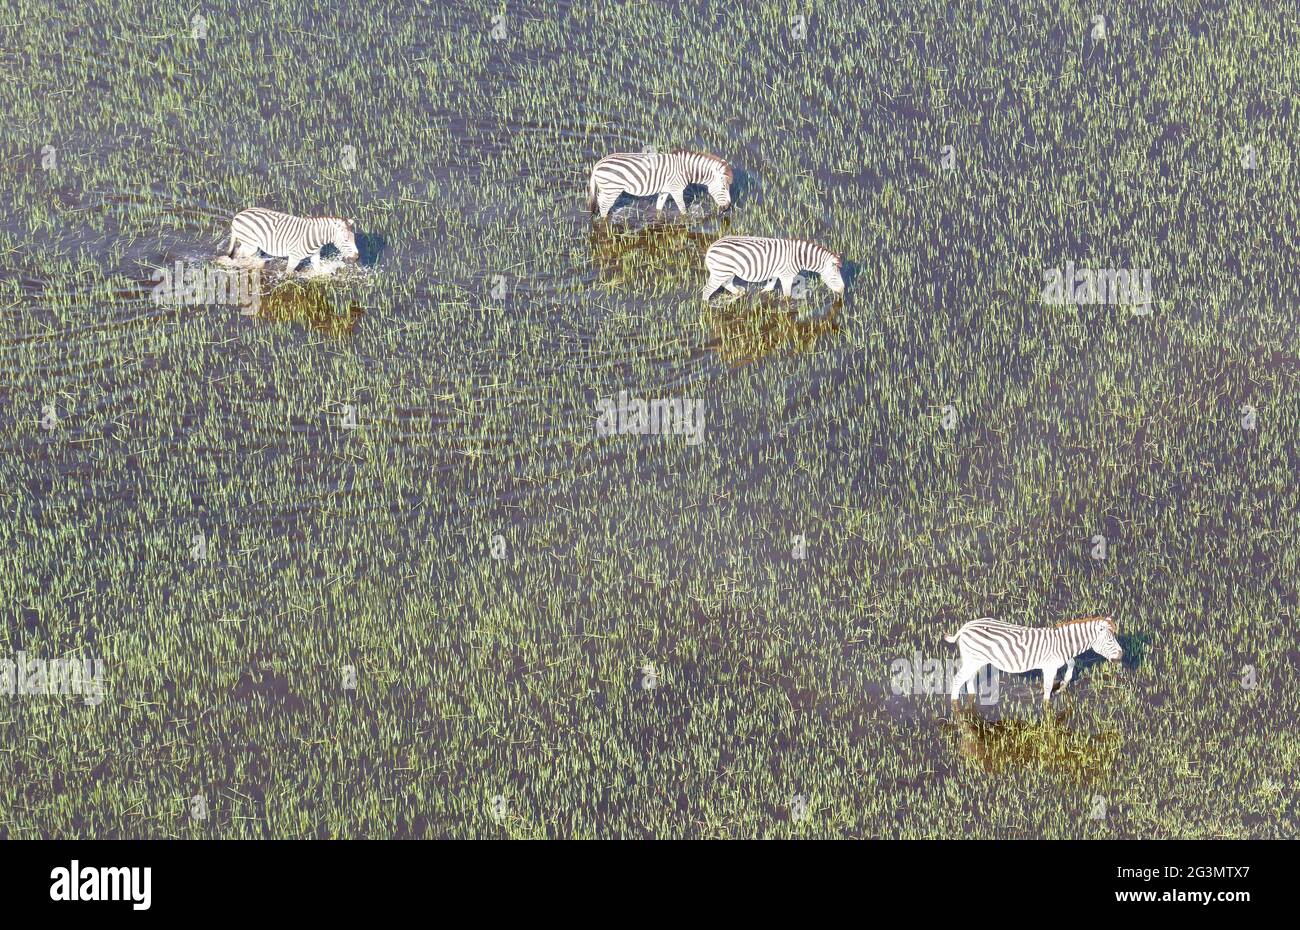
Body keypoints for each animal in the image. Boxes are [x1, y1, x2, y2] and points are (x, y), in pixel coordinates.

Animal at [226, 208, 361, 273]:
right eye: (345, 240)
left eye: (354, 239)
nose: (357, 257)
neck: (315, 237)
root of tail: (238, 215)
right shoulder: (294, 256)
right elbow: (289, 273)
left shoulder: (315, 255)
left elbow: (317, 270)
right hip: (250, 245)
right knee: (238, 255)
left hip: (251, 245)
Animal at [587, 150, 733, 219]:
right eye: (724, 187)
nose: (728, 207)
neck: (686, 170)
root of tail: (597, 164)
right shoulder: (676, 189)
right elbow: (683, 210)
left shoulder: (665, 190)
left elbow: (659, 207)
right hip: (612, 189)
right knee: (604, 207)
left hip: (607, 189)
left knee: (600, 202)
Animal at [702, 236, 842, 301]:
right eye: (834, 276)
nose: (842, 291)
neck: (799, 257)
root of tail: (711, 247)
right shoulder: (787, 275)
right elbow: (787, 294)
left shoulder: (777, 272)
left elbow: (771, 285)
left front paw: (764, 292)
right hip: (721, 271)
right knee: (707, 290)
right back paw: (707, 309)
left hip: (728, 272)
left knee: (726, 284)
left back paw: (739, 293)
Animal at [941, 613, 1123, 707]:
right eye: (1110, 641)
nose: (1121, 656)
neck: (1063, 643)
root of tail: (965, 627)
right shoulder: (1049, 666)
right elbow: (1047, 687)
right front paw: (1047, 703)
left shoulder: (1060, 659)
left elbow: (1071, 664)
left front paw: (1062, 686)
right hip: (974, 659)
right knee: (958, 679)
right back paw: (955, 704)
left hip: (975, 660)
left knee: (968, 679)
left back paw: (971, 697)